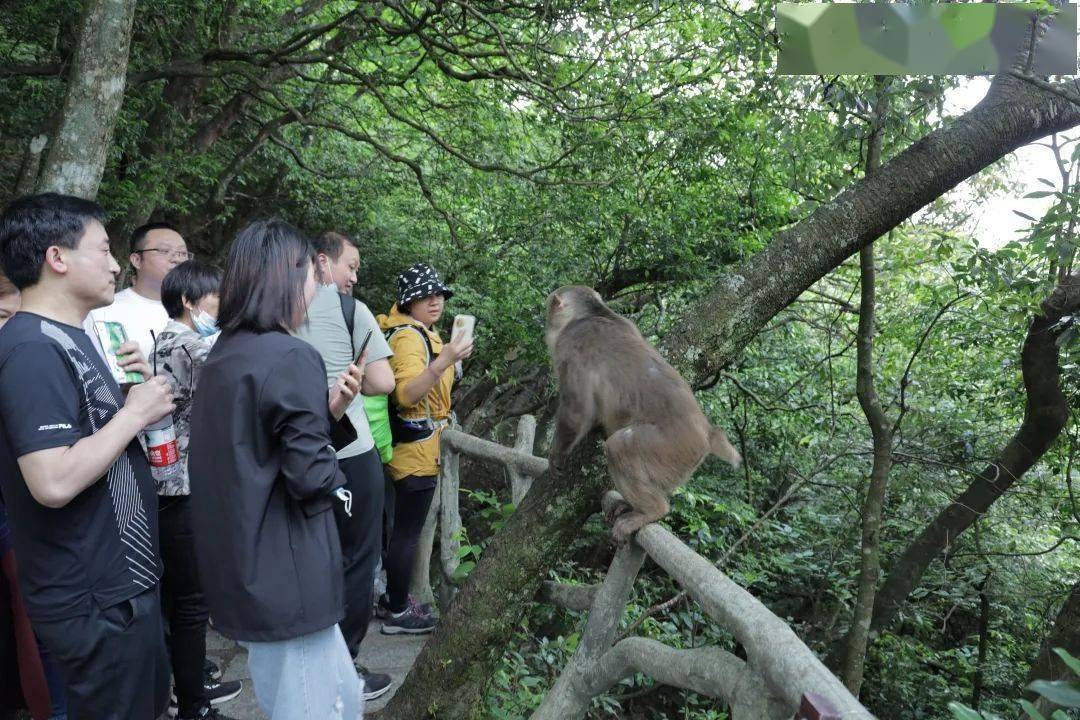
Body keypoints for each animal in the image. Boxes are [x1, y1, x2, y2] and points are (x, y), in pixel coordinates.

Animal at [544, 284, 738, 544]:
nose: (546, 323)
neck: (590, 315)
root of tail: (708, 434)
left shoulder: (570, 346)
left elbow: (577, 411)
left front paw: (556, 454)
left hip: (670, 447)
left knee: (619, 447)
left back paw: (651, 511)